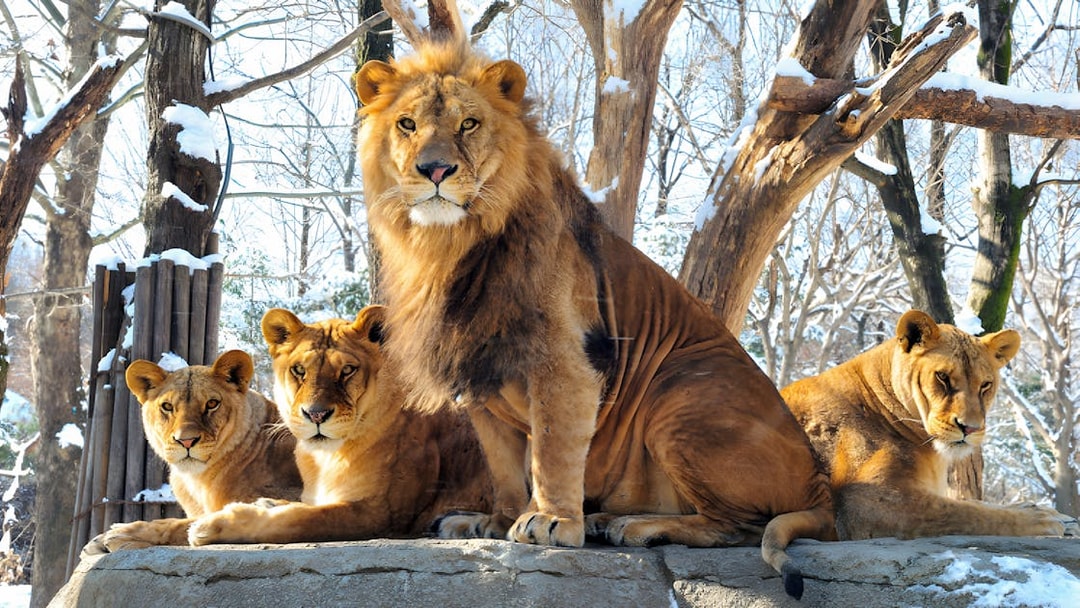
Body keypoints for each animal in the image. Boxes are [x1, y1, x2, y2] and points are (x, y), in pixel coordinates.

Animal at [91, 350, 302, 552]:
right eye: (167, 406)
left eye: (212, 403)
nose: (186, 441)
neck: (197, 480)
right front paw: (100, 539)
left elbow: (180, 524)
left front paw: (122, 533)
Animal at [186, 305, 492, 545]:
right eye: (299, 370)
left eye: (347, 370)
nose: (316, 415)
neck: (324, 458)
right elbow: (296, 508)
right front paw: (267, 503)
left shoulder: (379, 513)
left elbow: (300, 520)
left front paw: (213, 525)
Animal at [353, 21, 832, 598]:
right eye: (407, 125)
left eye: (468, 123)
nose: (436, 169)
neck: (449, 246)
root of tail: (822, 485)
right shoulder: (481, 376)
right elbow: (504, 465)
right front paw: (493, 520)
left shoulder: (563, 363)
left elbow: (553, 449)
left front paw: (552, 520)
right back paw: (607, 519)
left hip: (680, 391)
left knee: (739, 527)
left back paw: (635, 526)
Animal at [781, 309, 1078, 540]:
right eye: (942, 377)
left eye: (985, 385)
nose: (970, 428)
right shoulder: (862, 503)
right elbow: (967, 513)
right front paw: (1043, 520)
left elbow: (972, 502)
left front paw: (1051, 513)